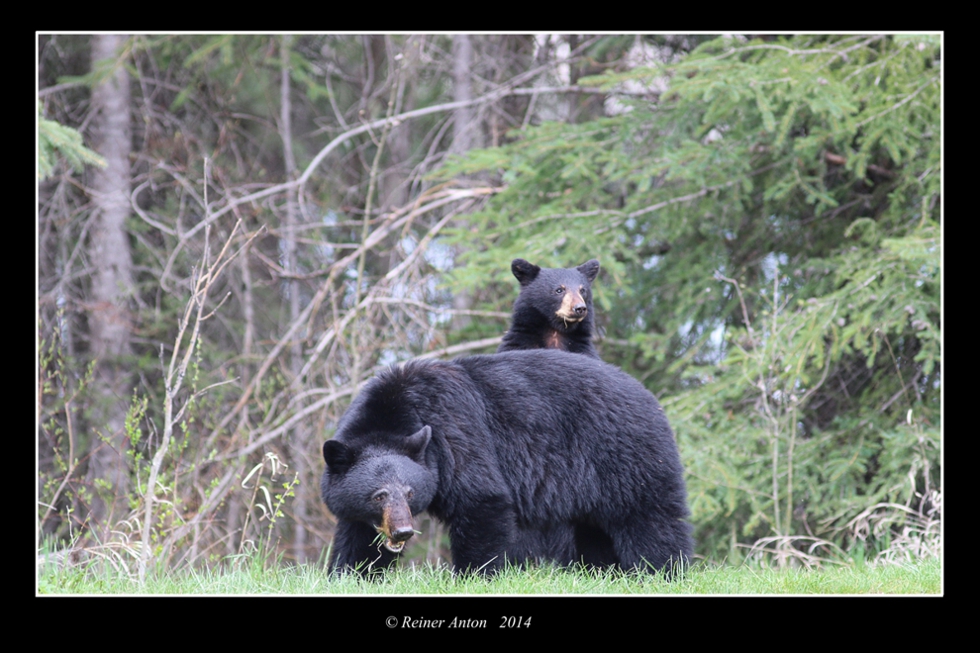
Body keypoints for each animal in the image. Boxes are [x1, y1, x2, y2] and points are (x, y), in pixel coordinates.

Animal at [321, 349, 692, 577]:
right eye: (378, 495)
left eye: (410, 492)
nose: (403, 530)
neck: (397, 409)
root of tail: (650, 397)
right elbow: (357, 537)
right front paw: (351, 574)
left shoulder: (455, 432)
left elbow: (482, 500)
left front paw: (472, 577)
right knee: (595, 533)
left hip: (626, 456)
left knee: (651, 520)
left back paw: (662, 572)